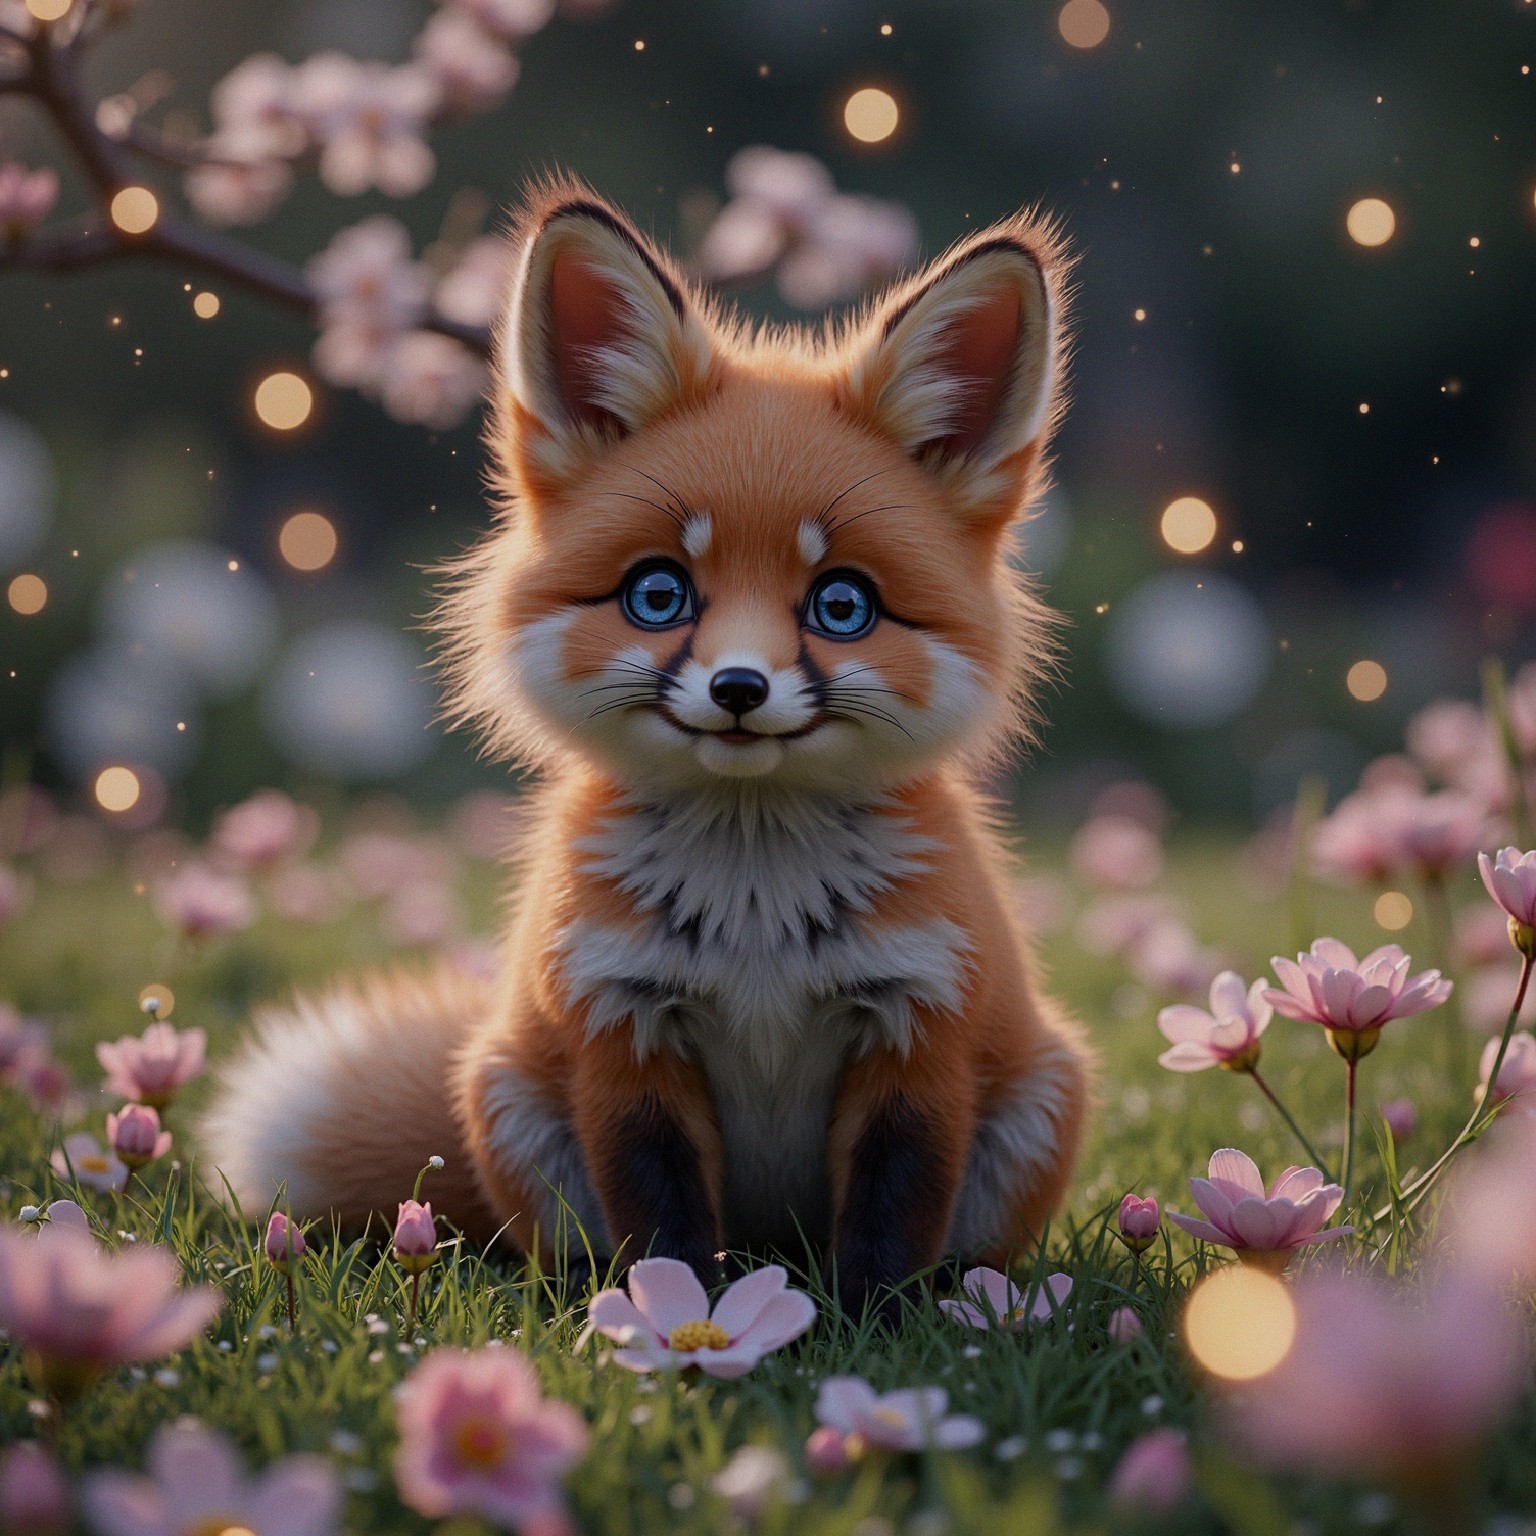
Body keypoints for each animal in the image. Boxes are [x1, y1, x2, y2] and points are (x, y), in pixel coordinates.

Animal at [200, 178, 1092, 1315]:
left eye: (842, 605)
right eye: (659, 594)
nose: (739, 689)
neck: (757, 915)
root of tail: (772, 1244)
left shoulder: (919, 1034)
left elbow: (890, 1224)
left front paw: (877, 1336)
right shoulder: (619, 1037)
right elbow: (662, 1227)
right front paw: (677, 1322)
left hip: (1040, 1097)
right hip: (511, 1100)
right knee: (568, 1249)